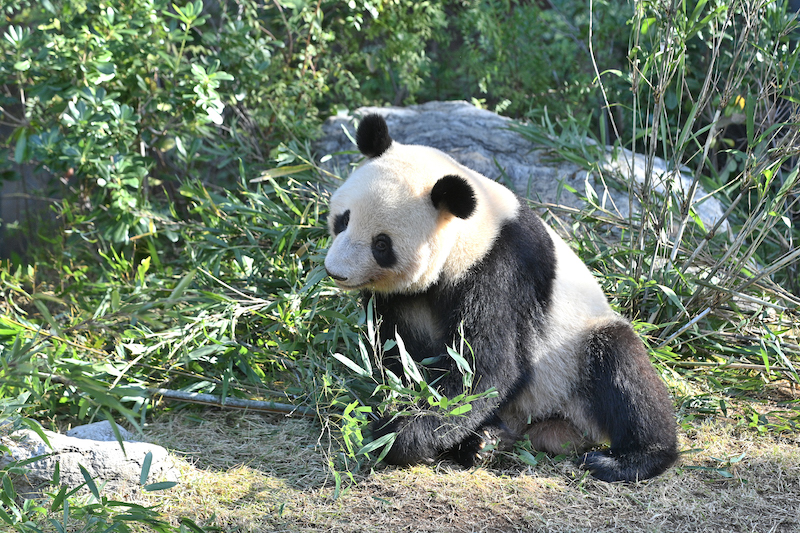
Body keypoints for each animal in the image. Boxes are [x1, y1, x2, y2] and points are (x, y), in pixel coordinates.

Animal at [324, 113, 680, 482]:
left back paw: (630, 459)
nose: (336, 271)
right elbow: (397, 350)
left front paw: (397, 433)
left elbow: (486, 367)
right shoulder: (403, 297)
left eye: (382, 244)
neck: (469, 232)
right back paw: (485, 441)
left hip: (575, 357)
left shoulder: (502, 269)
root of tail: (556, 428)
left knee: (622, 370)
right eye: (343, 219)